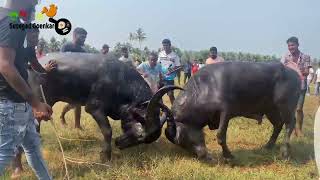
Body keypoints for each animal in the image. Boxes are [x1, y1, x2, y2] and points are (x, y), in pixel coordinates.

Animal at [164, 62, 302, 162]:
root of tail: (296, 75)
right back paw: (268, 146)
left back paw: (285, 153)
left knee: (290, 123)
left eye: (181, 139)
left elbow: (220, 135)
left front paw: (228, 156)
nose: (202, 157)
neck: (205, 87)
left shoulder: (226, 112)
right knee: (278, 124)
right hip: (270, 110)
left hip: (286, 106)